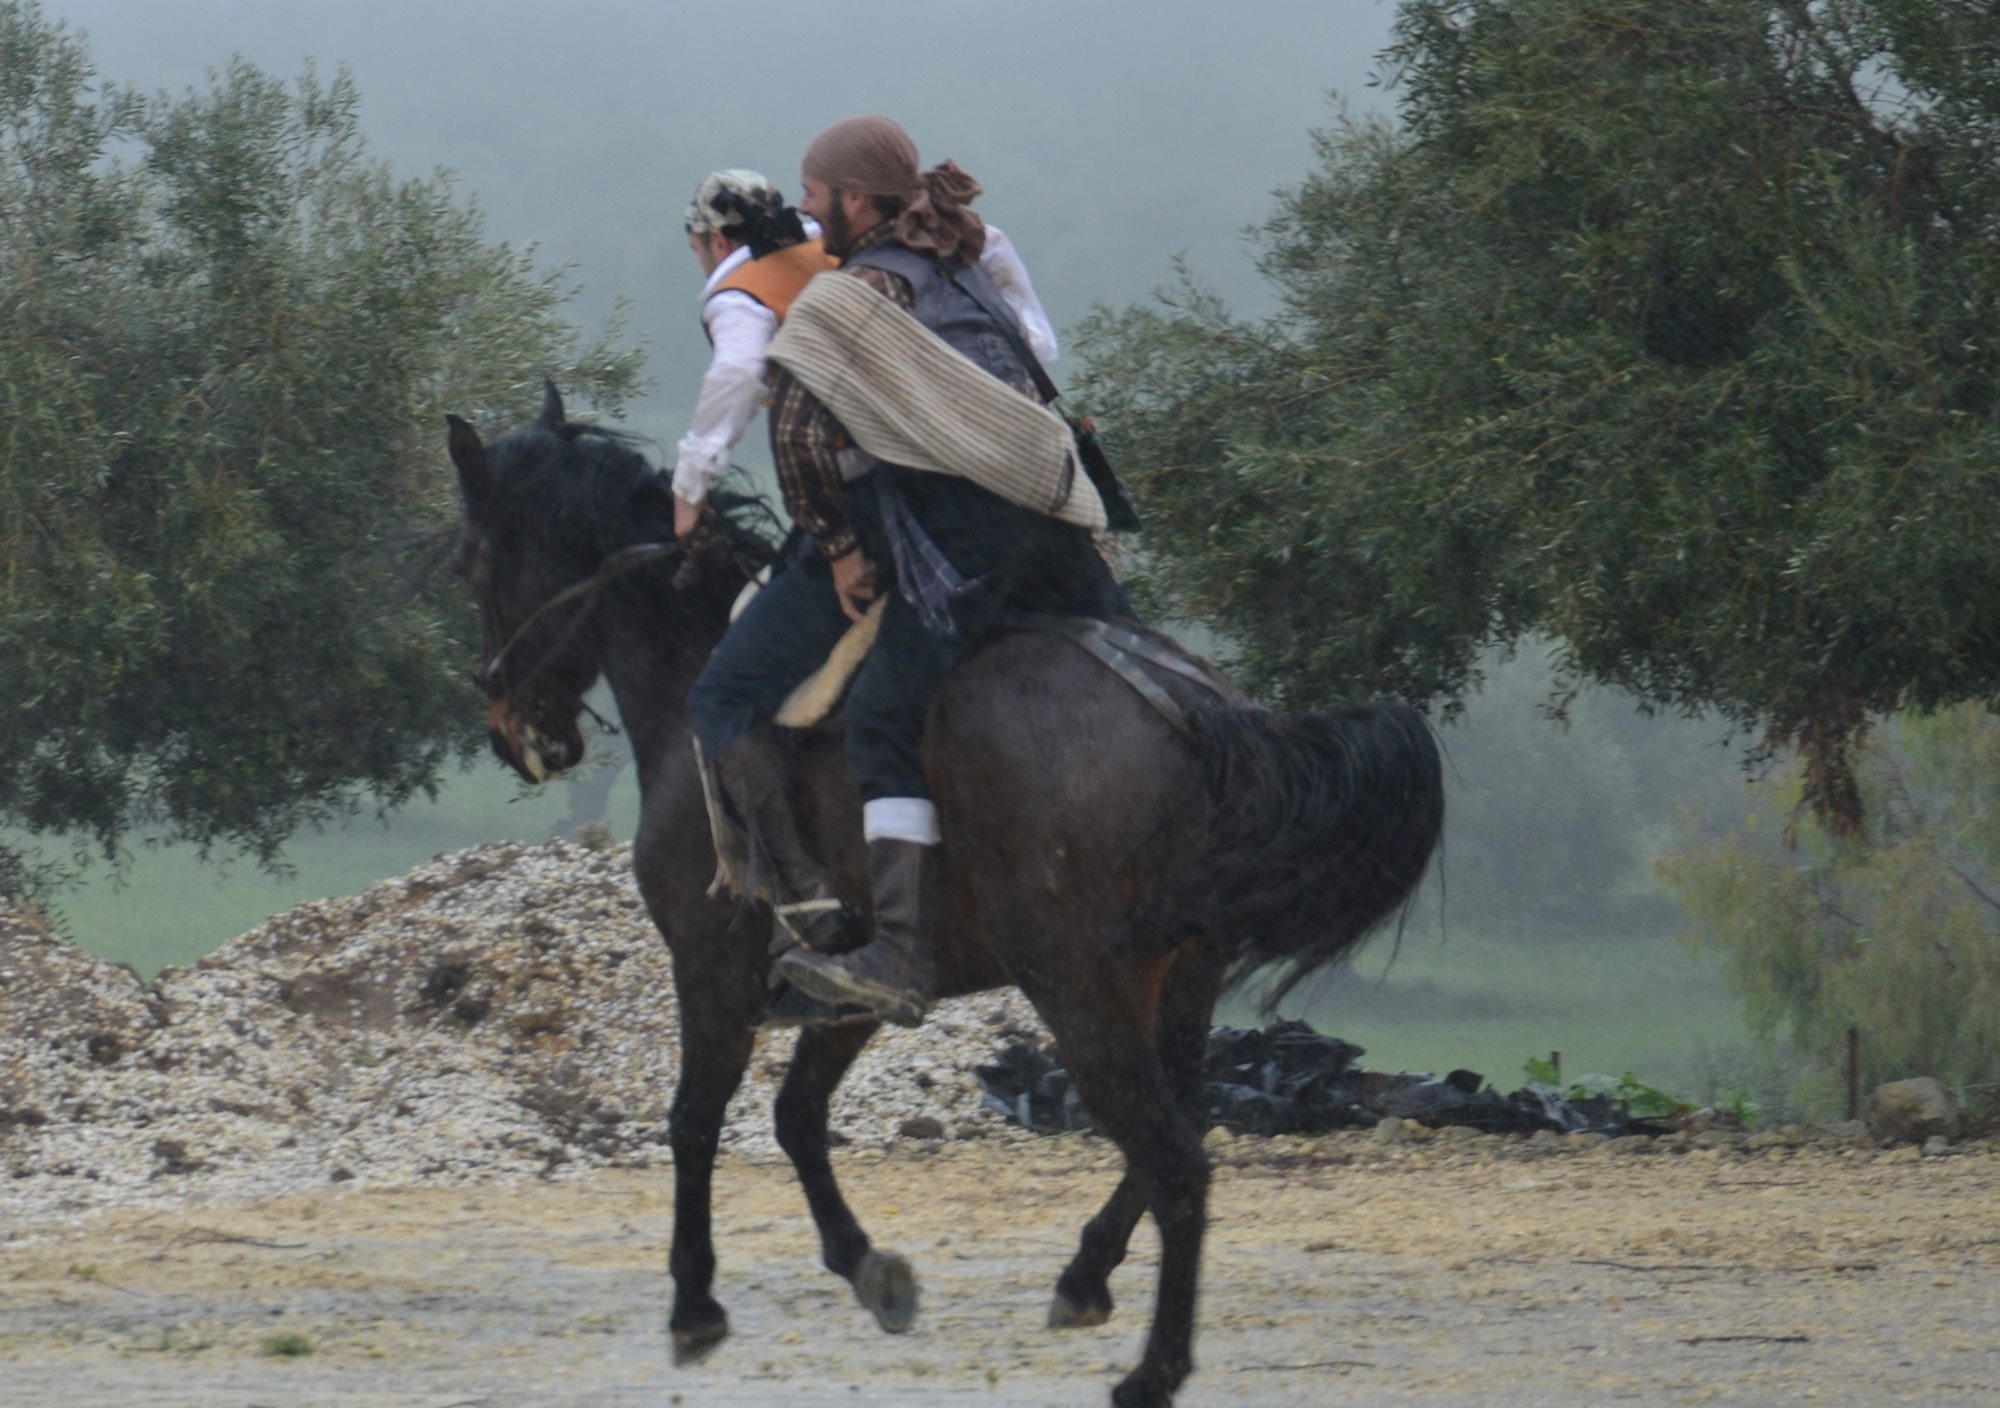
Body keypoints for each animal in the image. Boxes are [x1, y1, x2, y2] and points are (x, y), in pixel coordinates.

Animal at [442, 390, 1440, 1408]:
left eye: (472, 564)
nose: (511, 729)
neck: (692, 672)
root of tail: (1195, 713)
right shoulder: (851, 991)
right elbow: (795, 1115)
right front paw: (866, 1266)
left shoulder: (711, 964)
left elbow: (693, 1121)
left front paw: (694, 1304)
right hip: (1176, 986)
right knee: (1177, 1133)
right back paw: (1086, 1275)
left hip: (1081, 994)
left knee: (1177, 1163)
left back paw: (1152, 1371)